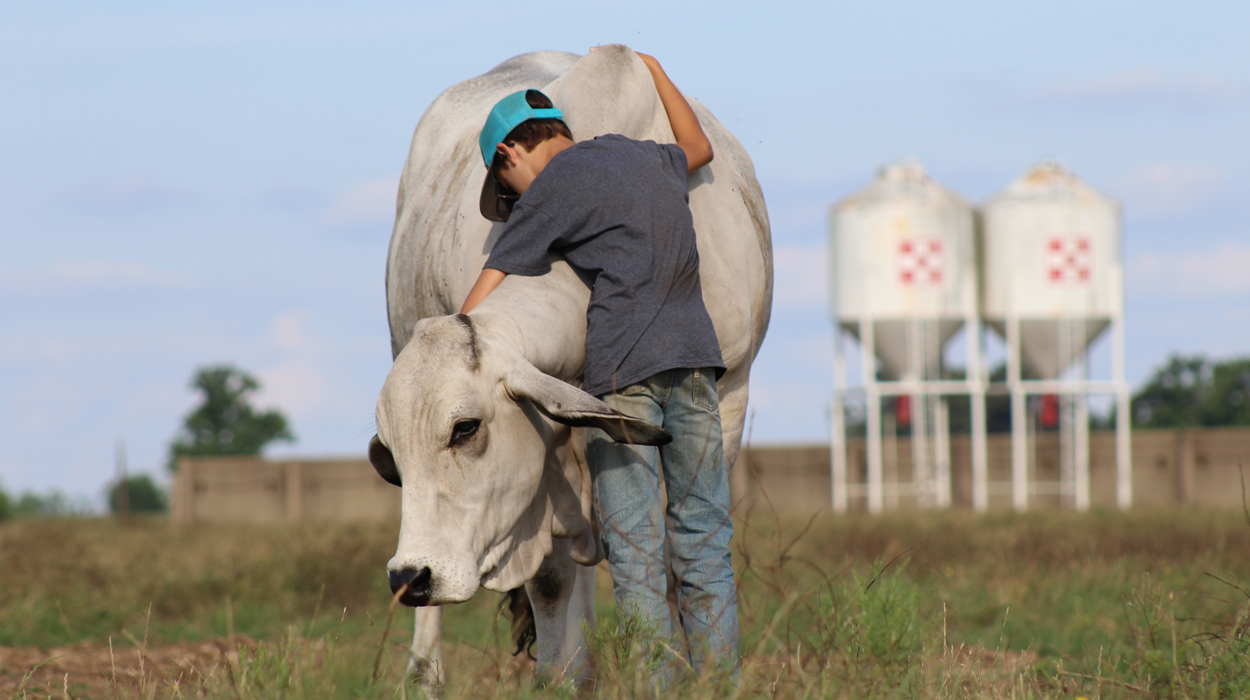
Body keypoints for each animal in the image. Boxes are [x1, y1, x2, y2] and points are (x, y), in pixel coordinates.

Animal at [365, 45, 765, 690]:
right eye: (394, 452)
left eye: (465, 428)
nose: (410, 577)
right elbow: (554, 581)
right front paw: (563, 681)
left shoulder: (727, 404)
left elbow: (680, 556)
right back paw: (426, 675)